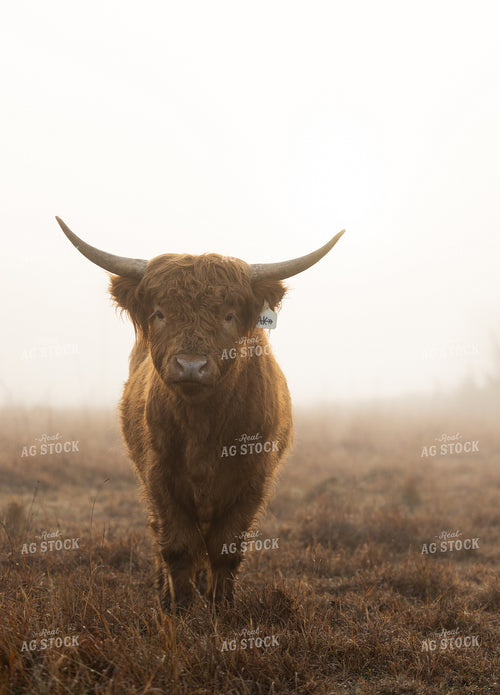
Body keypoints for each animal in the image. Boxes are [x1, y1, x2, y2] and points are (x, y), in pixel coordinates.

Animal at [56, 216, 345, 609]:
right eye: (160, 313)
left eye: (229, 315)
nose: (191, 366)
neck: (203, 428)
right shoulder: (158, 474)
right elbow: (177, 545)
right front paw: (180, 607)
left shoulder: (253, 478)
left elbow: (226, 548)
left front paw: (222, 606)